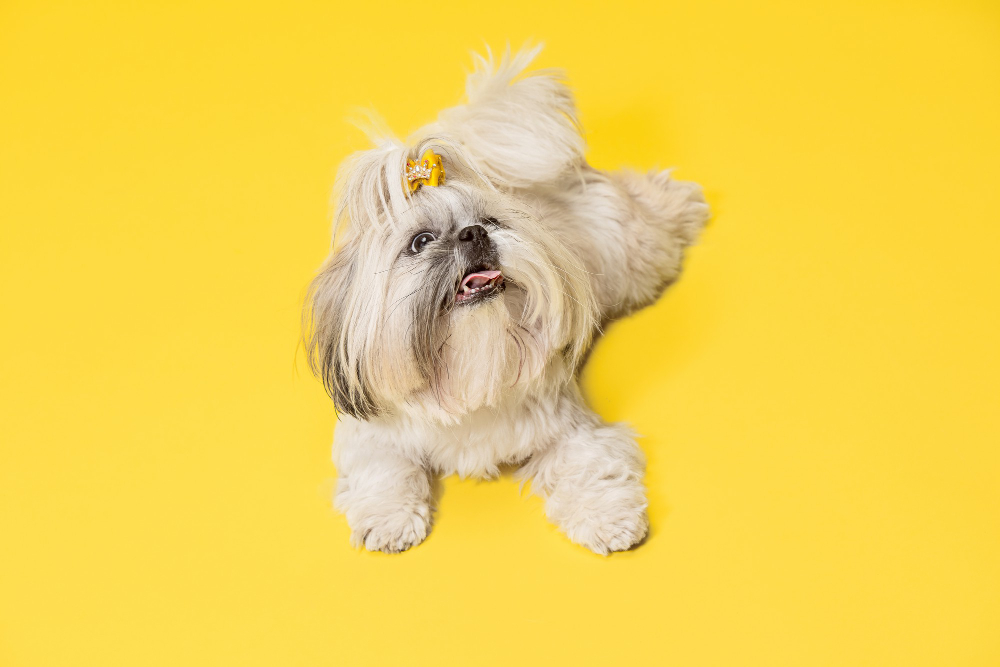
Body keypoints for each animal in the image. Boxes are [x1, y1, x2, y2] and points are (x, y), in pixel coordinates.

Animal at [304, 47, 712, 556]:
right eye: (420, 242)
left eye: (489, 221)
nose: (473, 233)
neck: (467, 362)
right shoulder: (372, 434)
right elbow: (383, 472)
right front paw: (388, 520)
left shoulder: (573, 432)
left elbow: (588, 470)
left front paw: (608, 521)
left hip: (634, 253)